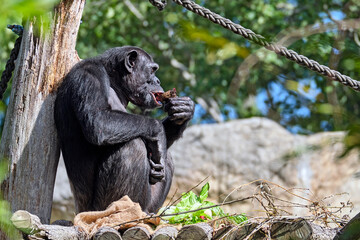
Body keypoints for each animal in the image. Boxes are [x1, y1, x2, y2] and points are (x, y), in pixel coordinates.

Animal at [53, 46, 194, 213]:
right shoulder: (89, 76)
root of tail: (78, 211)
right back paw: (126, 209)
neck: (114, 83)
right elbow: (98, 121)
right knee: (132, 145)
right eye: (152, 70)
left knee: (167, 158)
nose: (157, 80)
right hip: (98, 207)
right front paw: (158, 131)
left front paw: (184, 110)